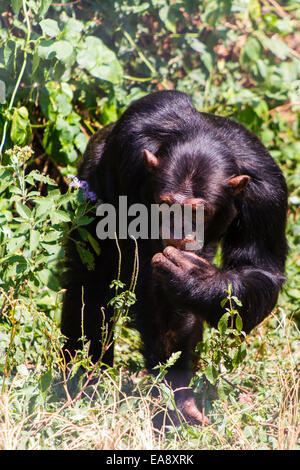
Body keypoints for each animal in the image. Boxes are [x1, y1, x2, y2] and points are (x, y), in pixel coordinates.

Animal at [60, 90, 286, 424]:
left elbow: (258, 269)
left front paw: (197, 281)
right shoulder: (129, 161)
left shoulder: (267, 194)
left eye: (197, 211)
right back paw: (82, 378)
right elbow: (149, 285)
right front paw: (177, 395)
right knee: (90, 282)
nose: (178, 229)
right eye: (167, 205)